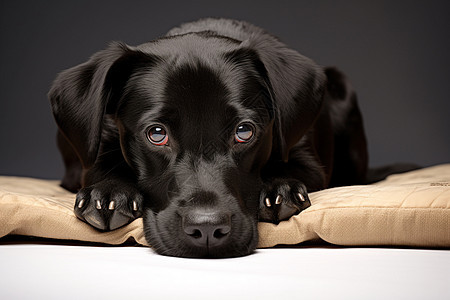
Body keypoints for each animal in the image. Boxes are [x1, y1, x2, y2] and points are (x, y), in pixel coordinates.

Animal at [51, 18, 370, 258]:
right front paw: (108, 193)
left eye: (244, 131)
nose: (206, 230)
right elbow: (103, 169)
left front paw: (280, 189)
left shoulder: (308, 160)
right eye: (157, 134)